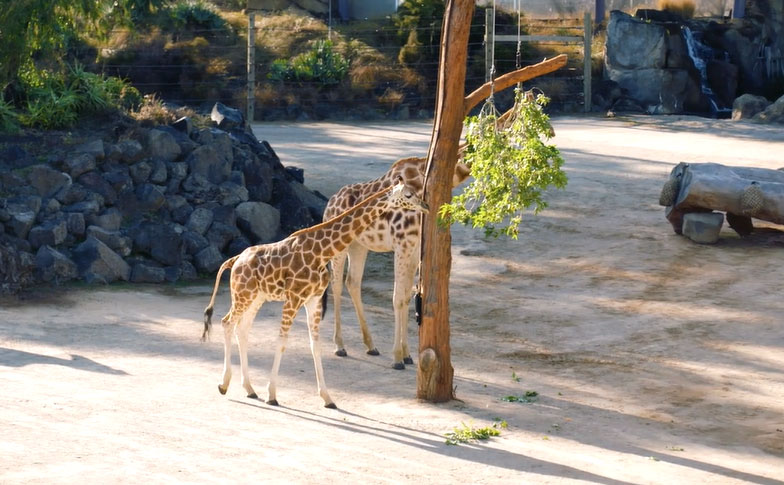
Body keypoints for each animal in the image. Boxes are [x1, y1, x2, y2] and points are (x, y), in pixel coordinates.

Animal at [199, 180, 426, 406]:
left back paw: (250, 389)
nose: (425, 206)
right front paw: (272, 395)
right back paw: (224, 385)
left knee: (242, 329)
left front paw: (327, 398)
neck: (321, 251)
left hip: (257, 297)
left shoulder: (313, 300)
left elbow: (315, 346)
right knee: (227, 322)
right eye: (407, 195)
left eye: (416, 193)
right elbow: (282, 342)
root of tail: (235, 260)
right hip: (243, 293)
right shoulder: (293, 298)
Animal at [322, 157, 468, 368]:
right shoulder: (402, 245)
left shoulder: (414, 249)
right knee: (336, 283)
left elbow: (407, 297)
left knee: (352, 282)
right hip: (339, 245)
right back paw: (340, 346)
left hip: (359, 245)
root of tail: (330, 202)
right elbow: (397, 297)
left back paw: (371, 346)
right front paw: (397, 357)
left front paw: (407, 355)